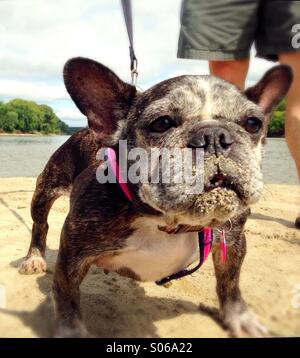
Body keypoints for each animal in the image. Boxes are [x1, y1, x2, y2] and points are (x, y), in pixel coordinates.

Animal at [18, 57, 290, 338]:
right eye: (162, 123)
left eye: (253, 123)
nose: (214, 136)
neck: (168, 222)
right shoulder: (73, 250)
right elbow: (67, 295)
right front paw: (71, 331)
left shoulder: (234, 240)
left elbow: (230, 283)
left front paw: (239, 317)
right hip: (45, 190)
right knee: (40, 224)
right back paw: (35, 258)